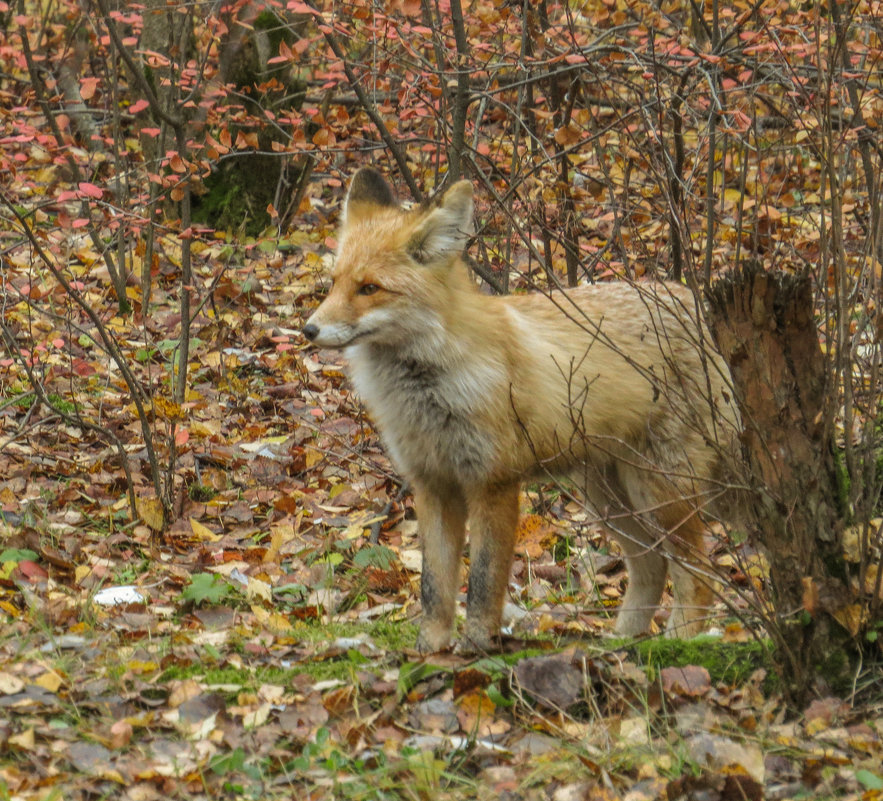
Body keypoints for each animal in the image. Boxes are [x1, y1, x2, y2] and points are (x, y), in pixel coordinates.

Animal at [304, 167, 740, 648]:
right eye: (335, 283)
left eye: (370, 289)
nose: (309, 329)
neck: (430, 388)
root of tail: (694, 305)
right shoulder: (432, 483)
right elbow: (434, 585)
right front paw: (431, 647)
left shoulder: (493, 482)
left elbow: (483, 580)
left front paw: (477, 645)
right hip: (609, 499)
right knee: (651, 565)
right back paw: (620, 643)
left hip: (660, 492)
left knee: (699, 574)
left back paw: (680, 642)